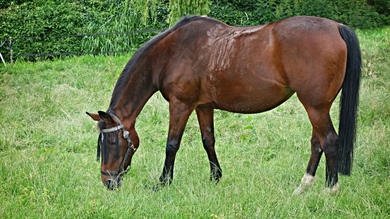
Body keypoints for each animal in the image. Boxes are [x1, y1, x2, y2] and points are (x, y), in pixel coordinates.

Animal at [87, 15, 362, 193]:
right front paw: (215, 177)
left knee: (329, 141)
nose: (108, 182)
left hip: (315, 107)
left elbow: (172, 145)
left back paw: (330, 190)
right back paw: (303, 186)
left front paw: (163, 182)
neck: (171, 53)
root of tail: (337, 26)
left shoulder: (180, 104)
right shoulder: (203, 106)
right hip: (318, 107)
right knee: (317, 142)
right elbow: (208, 140)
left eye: (112, 142)